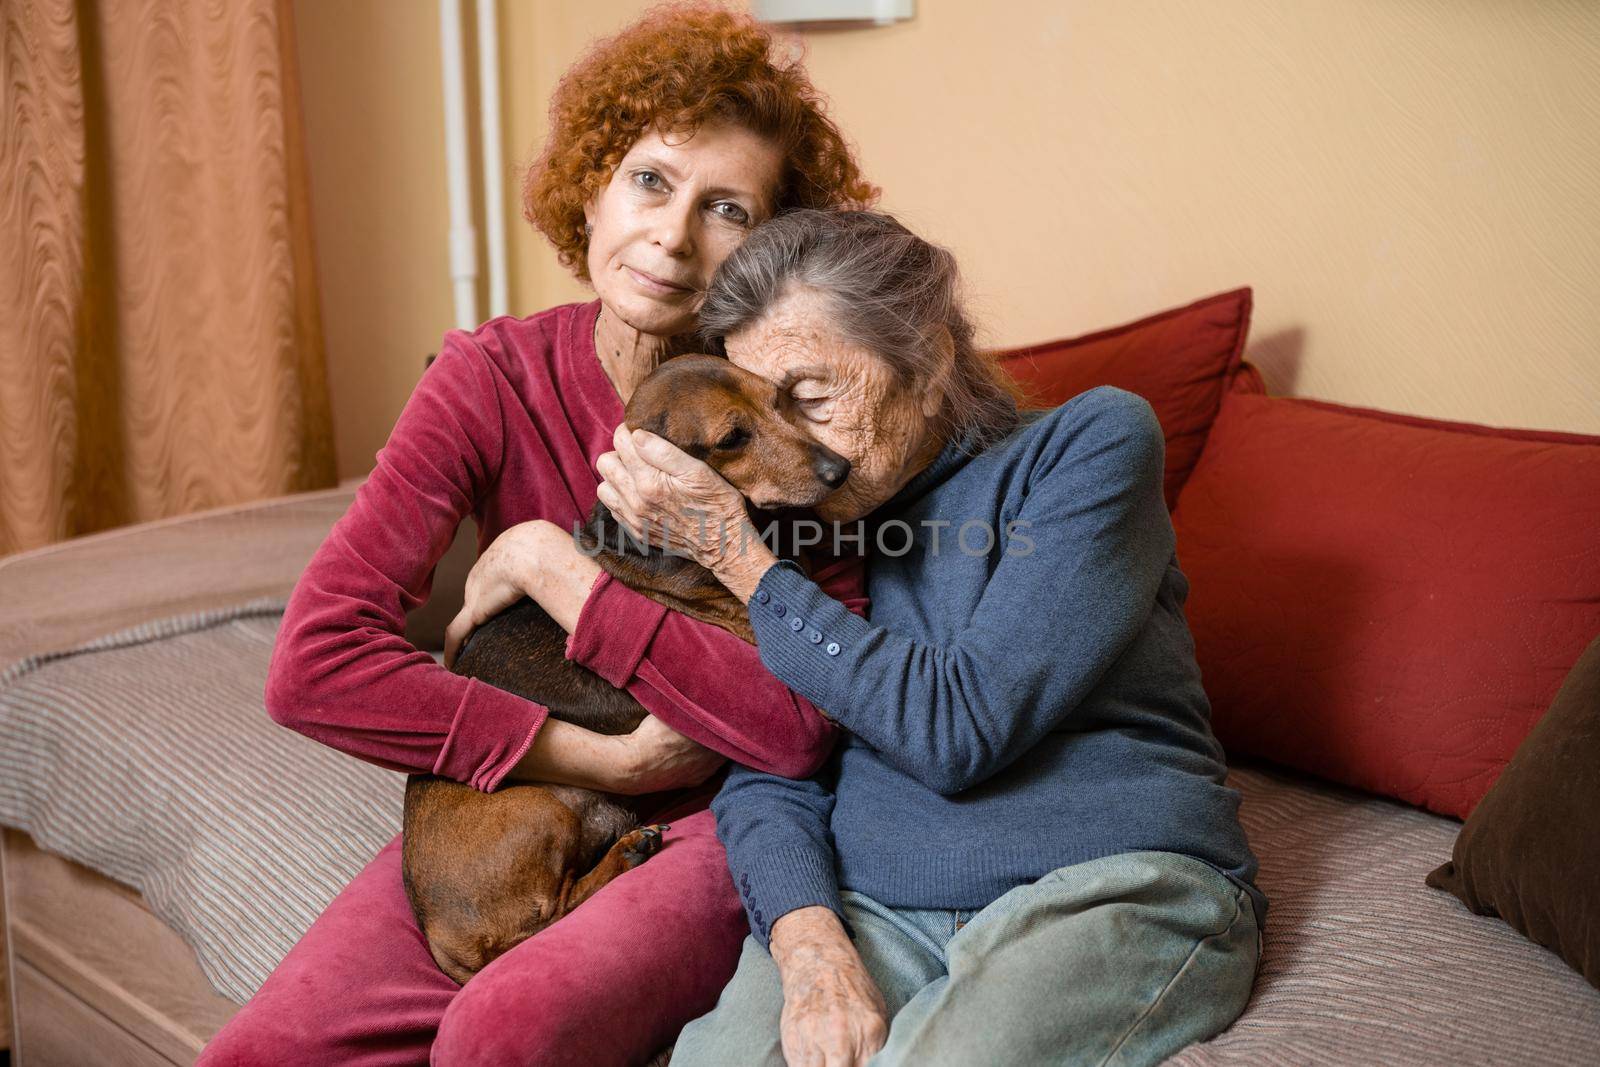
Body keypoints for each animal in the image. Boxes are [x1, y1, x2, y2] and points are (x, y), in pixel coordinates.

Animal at [400, 356, 851, 985]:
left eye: (780, 401)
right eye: (732, 438)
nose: (840, 470)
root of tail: (439, 939)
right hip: (541, 811)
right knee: (555, 911)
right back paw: (626, 853)